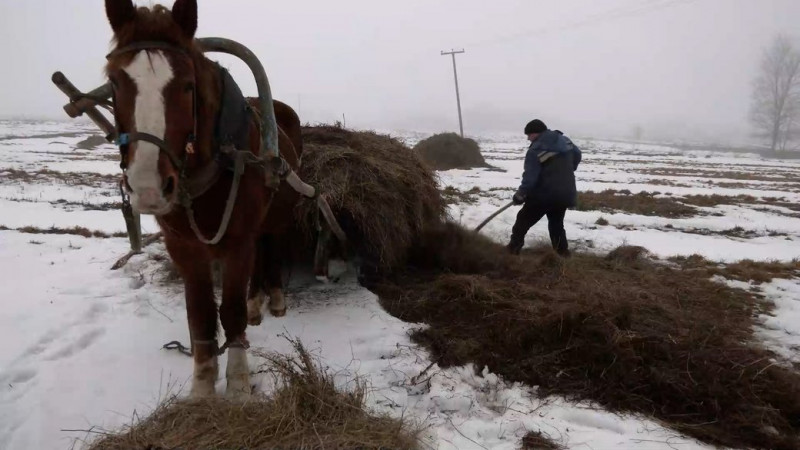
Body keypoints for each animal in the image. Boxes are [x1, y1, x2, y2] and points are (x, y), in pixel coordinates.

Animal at [105, 0, 304, 398]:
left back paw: (273, 297)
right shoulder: (184, 247)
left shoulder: (237, 241)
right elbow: (200, 315)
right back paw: (257, 300)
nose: (148, 187)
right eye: (115, 83)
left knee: (272, 247)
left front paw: (239, 385)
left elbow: (230, 311)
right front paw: (202, 387)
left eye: (187, 85)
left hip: (276, 217)